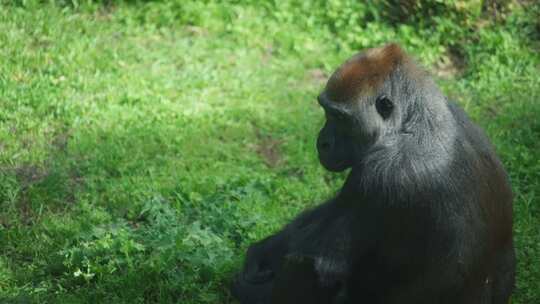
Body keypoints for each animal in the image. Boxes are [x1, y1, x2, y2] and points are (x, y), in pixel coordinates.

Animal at [229, 43, 516, 304]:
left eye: (339, 117)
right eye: (325, 110)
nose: (322, 142)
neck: (412, 121)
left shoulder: (382, 172)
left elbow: (321, 267)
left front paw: (249, 288)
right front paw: (264, 250)